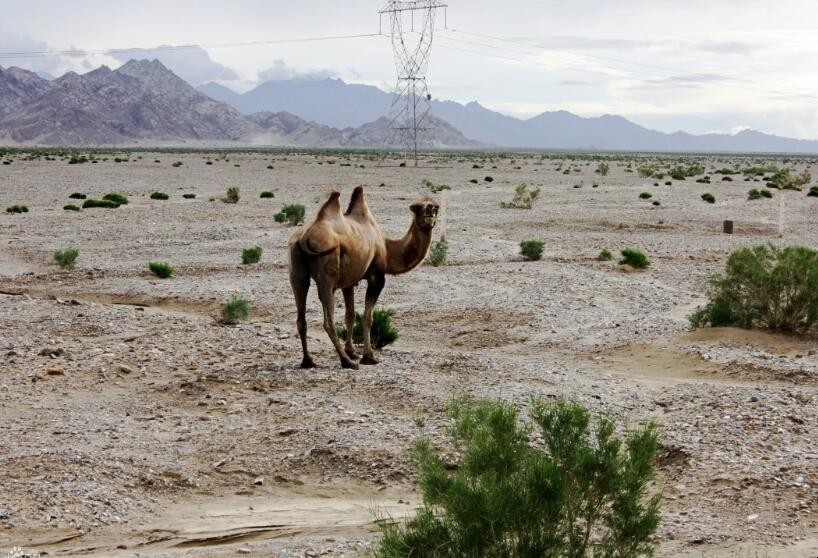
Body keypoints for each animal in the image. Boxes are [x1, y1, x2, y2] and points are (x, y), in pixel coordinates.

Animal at [288, 187, 440, 372]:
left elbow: (350, 315)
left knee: (301, 316)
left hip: (297, 271)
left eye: (436, 206)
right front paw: (368, 357)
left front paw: (352, 351)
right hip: (327, 274)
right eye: (417, 207)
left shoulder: (349, 282)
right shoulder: (377, 277)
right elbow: (368, 317)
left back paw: (308, 361)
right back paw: (347, 362)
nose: (430, 210)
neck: (387, 248)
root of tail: (304, 237)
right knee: (328, 321)